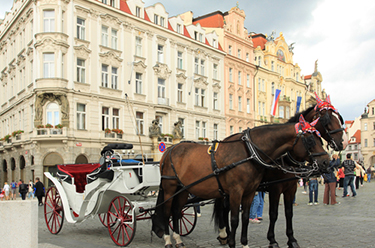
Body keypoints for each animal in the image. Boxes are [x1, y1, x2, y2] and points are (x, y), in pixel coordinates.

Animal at [152, 116, 328, 248]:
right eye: (311, 140)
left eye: (320, 137)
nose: (327, 162)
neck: (249, 152)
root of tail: (169, 149)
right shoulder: (239, 192)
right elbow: (236, 219)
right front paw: (232, 242)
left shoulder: (250, 192)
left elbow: (245, 218)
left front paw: (244, 243)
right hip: (170, 187)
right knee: (167, 211)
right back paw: (168, 240)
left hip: (183, 189)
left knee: (177, 211)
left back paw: (178, 240)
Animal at [214, 93, 346, 248]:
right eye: (327, 119)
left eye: (339, 118)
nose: (343, 142)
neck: (285, 155)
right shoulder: (275, 188)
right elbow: (274, 213)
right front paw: (272, 240)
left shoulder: (291, 188)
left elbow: (289, 212)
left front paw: (291, 239)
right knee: (224, 209)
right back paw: (225, 234)